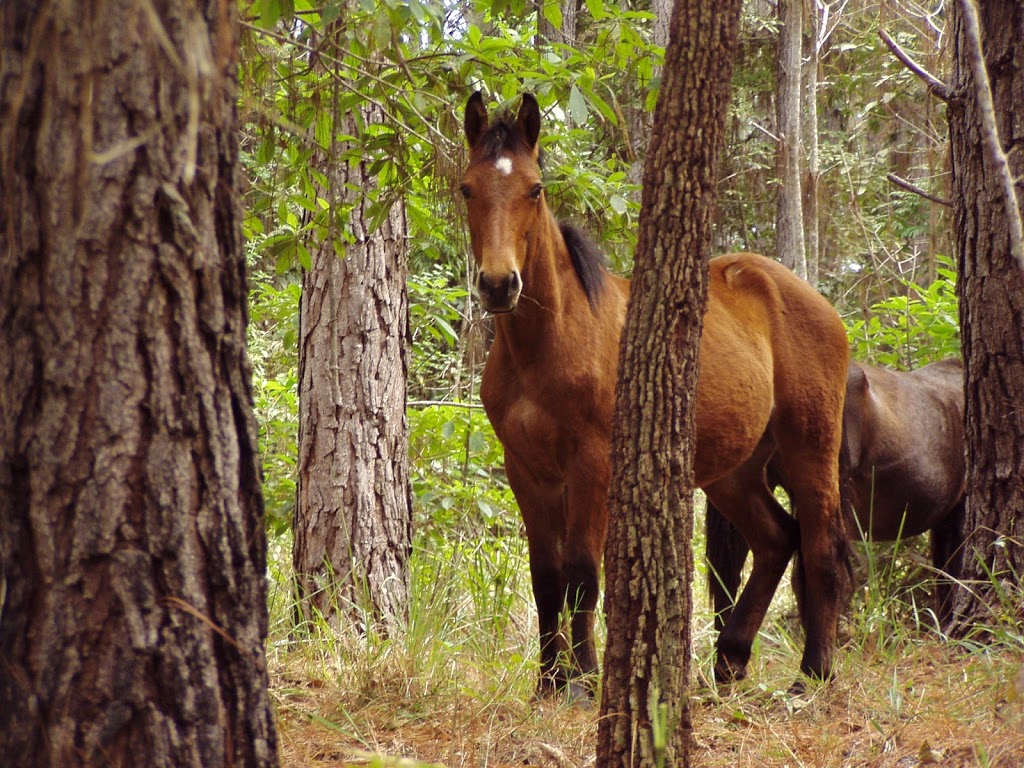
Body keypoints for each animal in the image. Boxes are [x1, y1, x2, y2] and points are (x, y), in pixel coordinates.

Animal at [460, 91, 851, 696]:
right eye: (466, 188)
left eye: (535, 188)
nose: (500, 285)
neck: (547, 344)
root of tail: (817, 303)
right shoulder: (525, 467)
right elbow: (545, 576)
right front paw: (548, 680)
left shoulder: (593, 462)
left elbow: (581, 572)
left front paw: (585, 678)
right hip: (733, 470)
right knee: (777, 539)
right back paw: (729, 658)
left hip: (810, 445)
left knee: (821, 544)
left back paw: (814, 673)